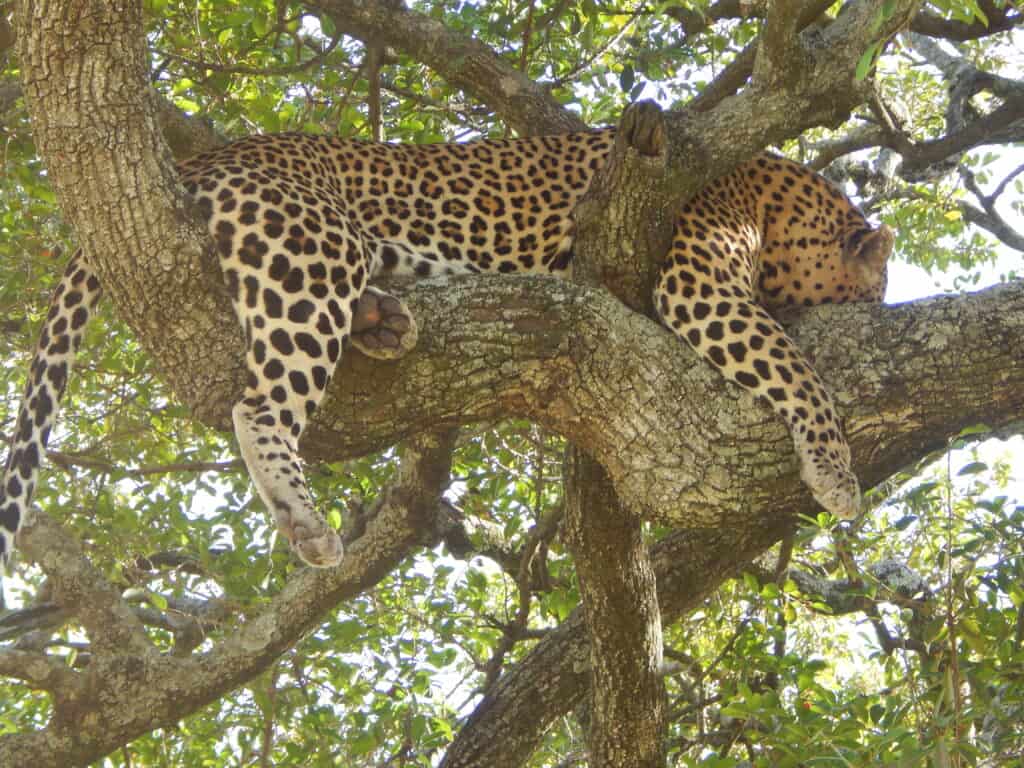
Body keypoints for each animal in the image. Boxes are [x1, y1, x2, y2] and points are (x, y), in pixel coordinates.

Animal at [0, 124, 892, 573]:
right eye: (876, 294)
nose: (882, 305)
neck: (776, 196)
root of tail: (206, 155)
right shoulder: (696, 280)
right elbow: (795, 368)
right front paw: (836, 473)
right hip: (310, 249)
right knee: (259, 404)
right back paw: (306, 519)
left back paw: (386, 322)